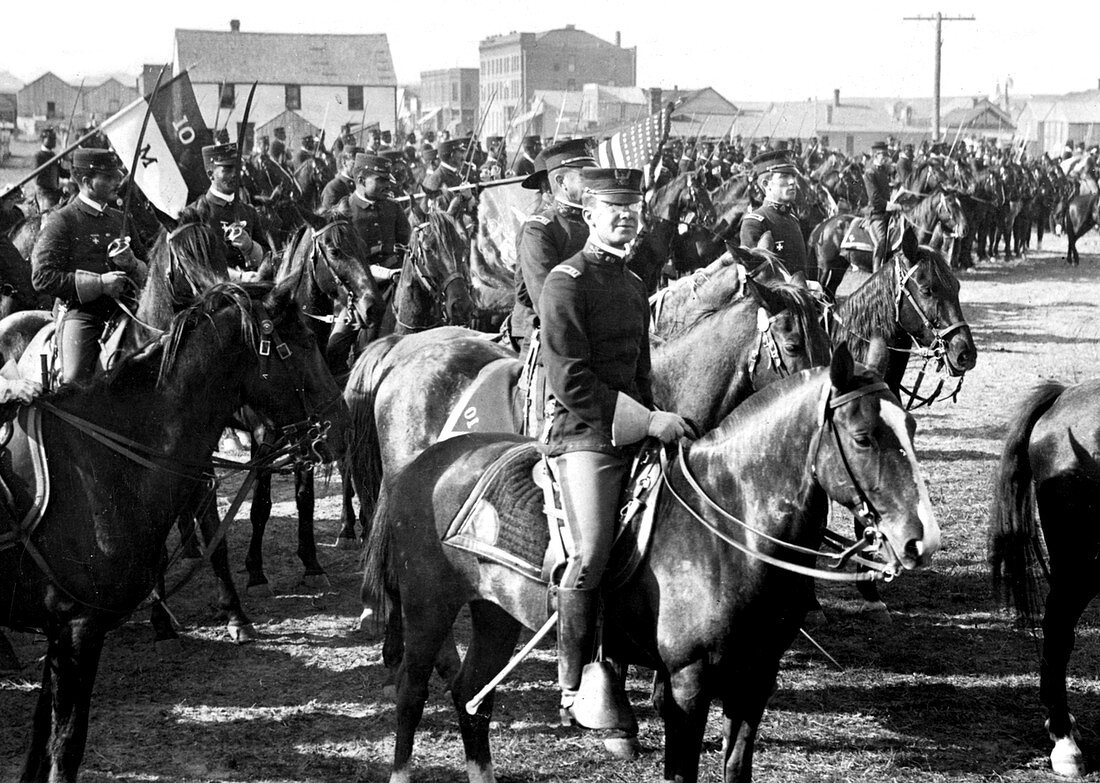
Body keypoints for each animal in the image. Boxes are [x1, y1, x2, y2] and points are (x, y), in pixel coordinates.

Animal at [0, 283, 345, 782]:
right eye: (300, 344)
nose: (343, 426)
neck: (100, 460)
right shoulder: (78, 627)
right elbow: (65, 747)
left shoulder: (59, 630)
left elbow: (40, 747)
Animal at [367, 347, 937, 782]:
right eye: (864, 437)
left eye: (911, 426)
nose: (921, 540)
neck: (728, 527)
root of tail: (422, 464)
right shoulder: (687, 684)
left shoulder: (755, 678)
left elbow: (737, 768)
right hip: (428, 610)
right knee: (412, 693)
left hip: (495, 614)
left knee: (471, 697)